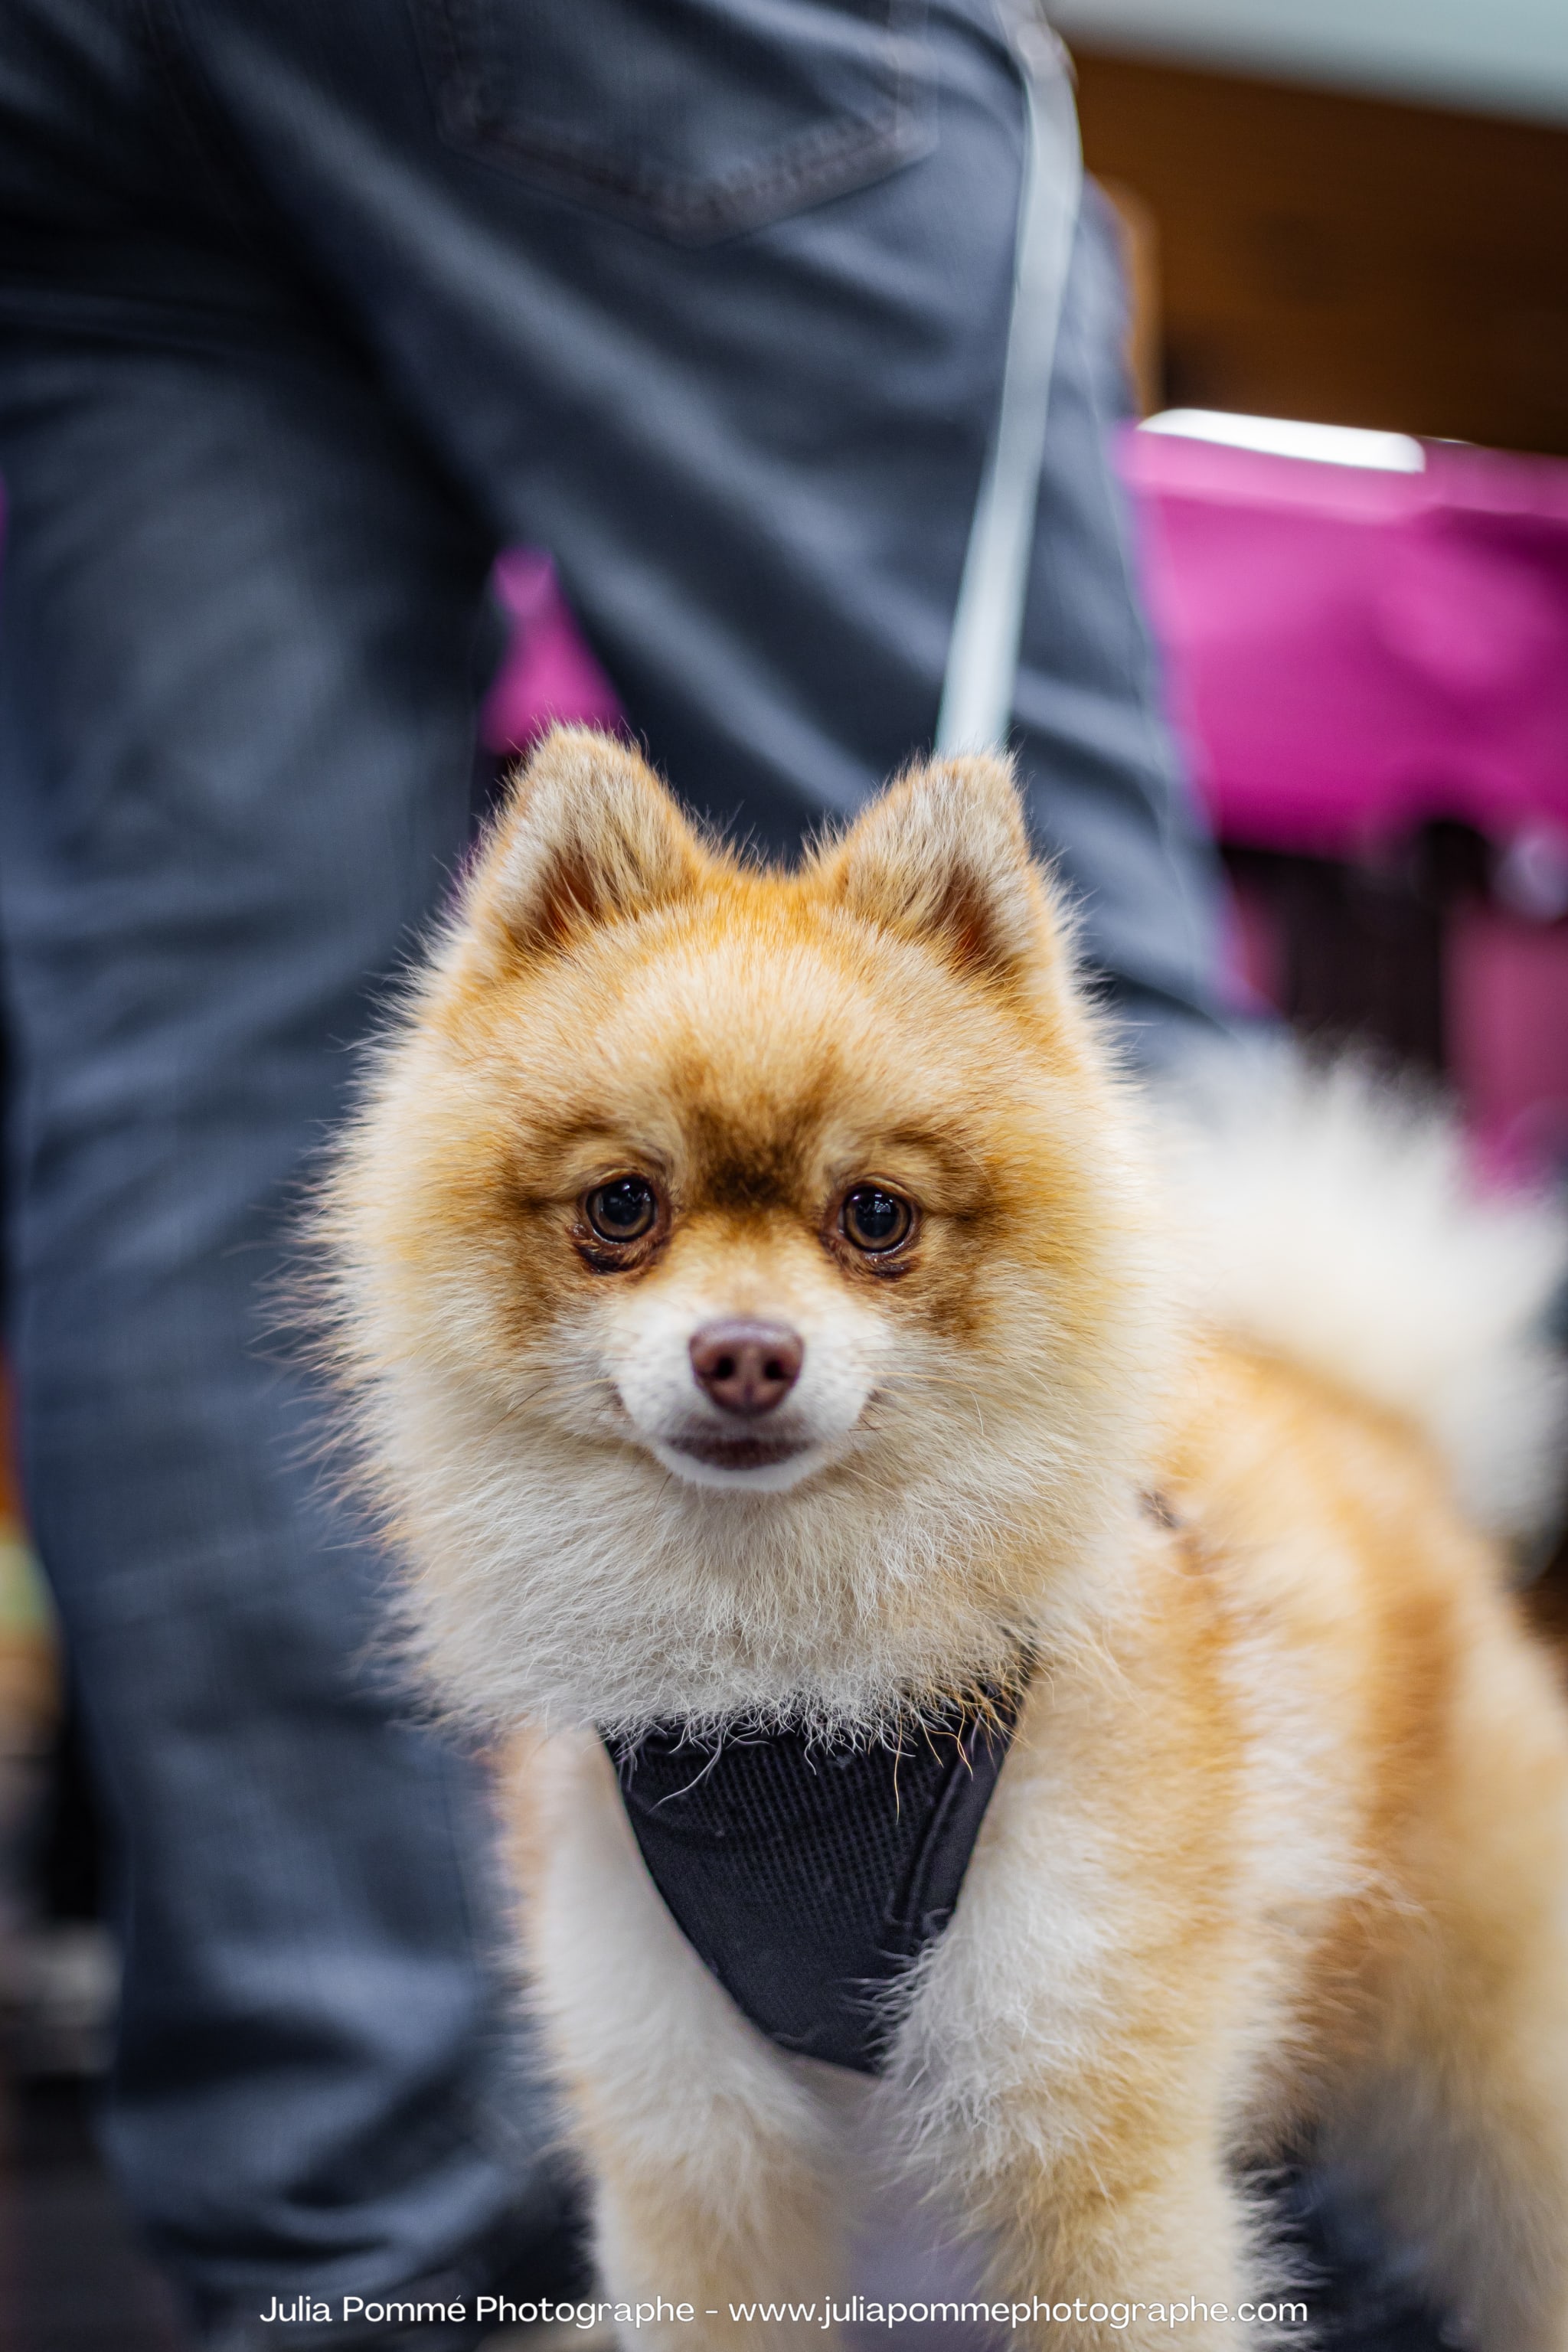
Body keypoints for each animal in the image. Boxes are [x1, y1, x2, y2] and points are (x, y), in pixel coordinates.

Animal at [322, 724, 1568, 2342]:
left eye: (872, 1215)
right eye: (621, 1205)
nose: (744, 1354)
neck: (787, 1709)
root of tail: (1363, 1410)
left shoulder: (1082, 2123)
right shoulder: (695, 2151)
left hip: (1490, 2074)